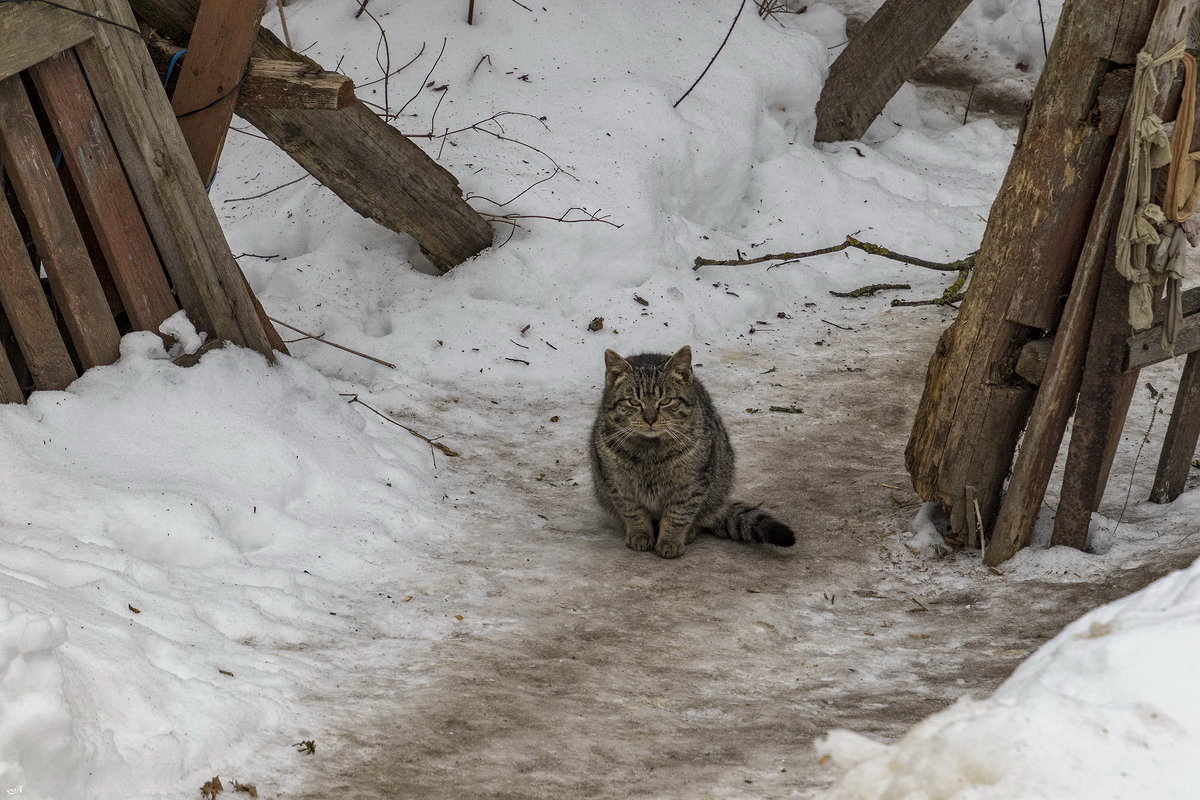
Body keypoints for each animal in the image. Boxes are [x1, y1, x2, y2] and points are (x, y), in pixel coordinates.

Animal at [585, 347, 792, 561]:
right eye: (633, 401)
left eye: (666, 401)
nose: (650, 419)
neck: (650, 452)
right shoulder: (618, 485)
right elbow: (633, 513)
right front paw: (640, 534)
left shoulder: (693, 485)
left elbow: (678, 516)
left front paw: (670, 541)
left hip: (718, 486)